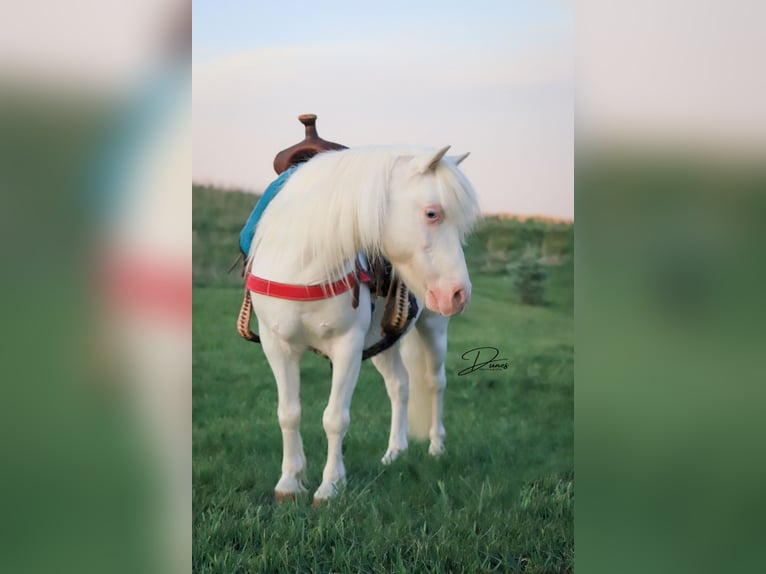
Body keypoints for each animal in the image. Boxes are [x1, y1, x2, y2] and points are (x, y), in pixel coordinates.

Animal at [247, 144, 481, 503]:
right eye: (432, 213)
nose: (459, 293)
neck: (304, 265)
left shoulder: (348, 347)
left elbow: (335, 419)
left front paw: (330, 486)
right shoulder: (277, 346)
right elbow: (288, 413)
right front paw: (289, 482)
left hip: (433, 327)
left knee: (434, 382)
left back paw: (436, 446)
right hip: (382, 341)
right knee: (399, 384)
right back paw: (395, 451)